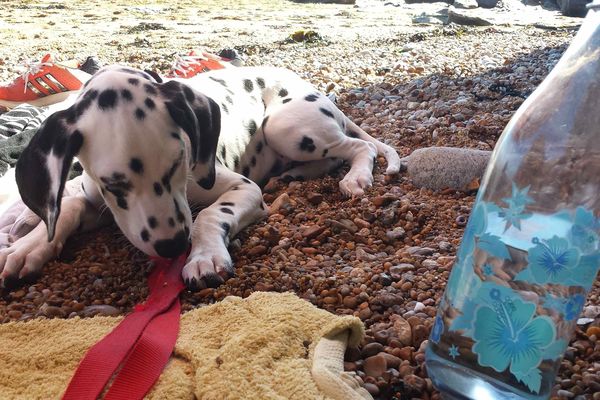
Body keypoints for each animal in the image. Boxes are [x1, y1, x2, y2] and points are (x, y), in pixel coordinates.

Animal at [1, 65, 404, 290]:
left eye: (180, 161)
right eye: (114, 184)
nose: (172, 246)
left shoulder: (242, 188)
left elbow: (209, 215)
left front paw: (205, 256)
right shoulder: (96, 199)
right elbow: (66, 208)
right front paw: (28, 248)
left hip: (285, 127)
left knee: (357, 147)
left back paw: (356, 177)